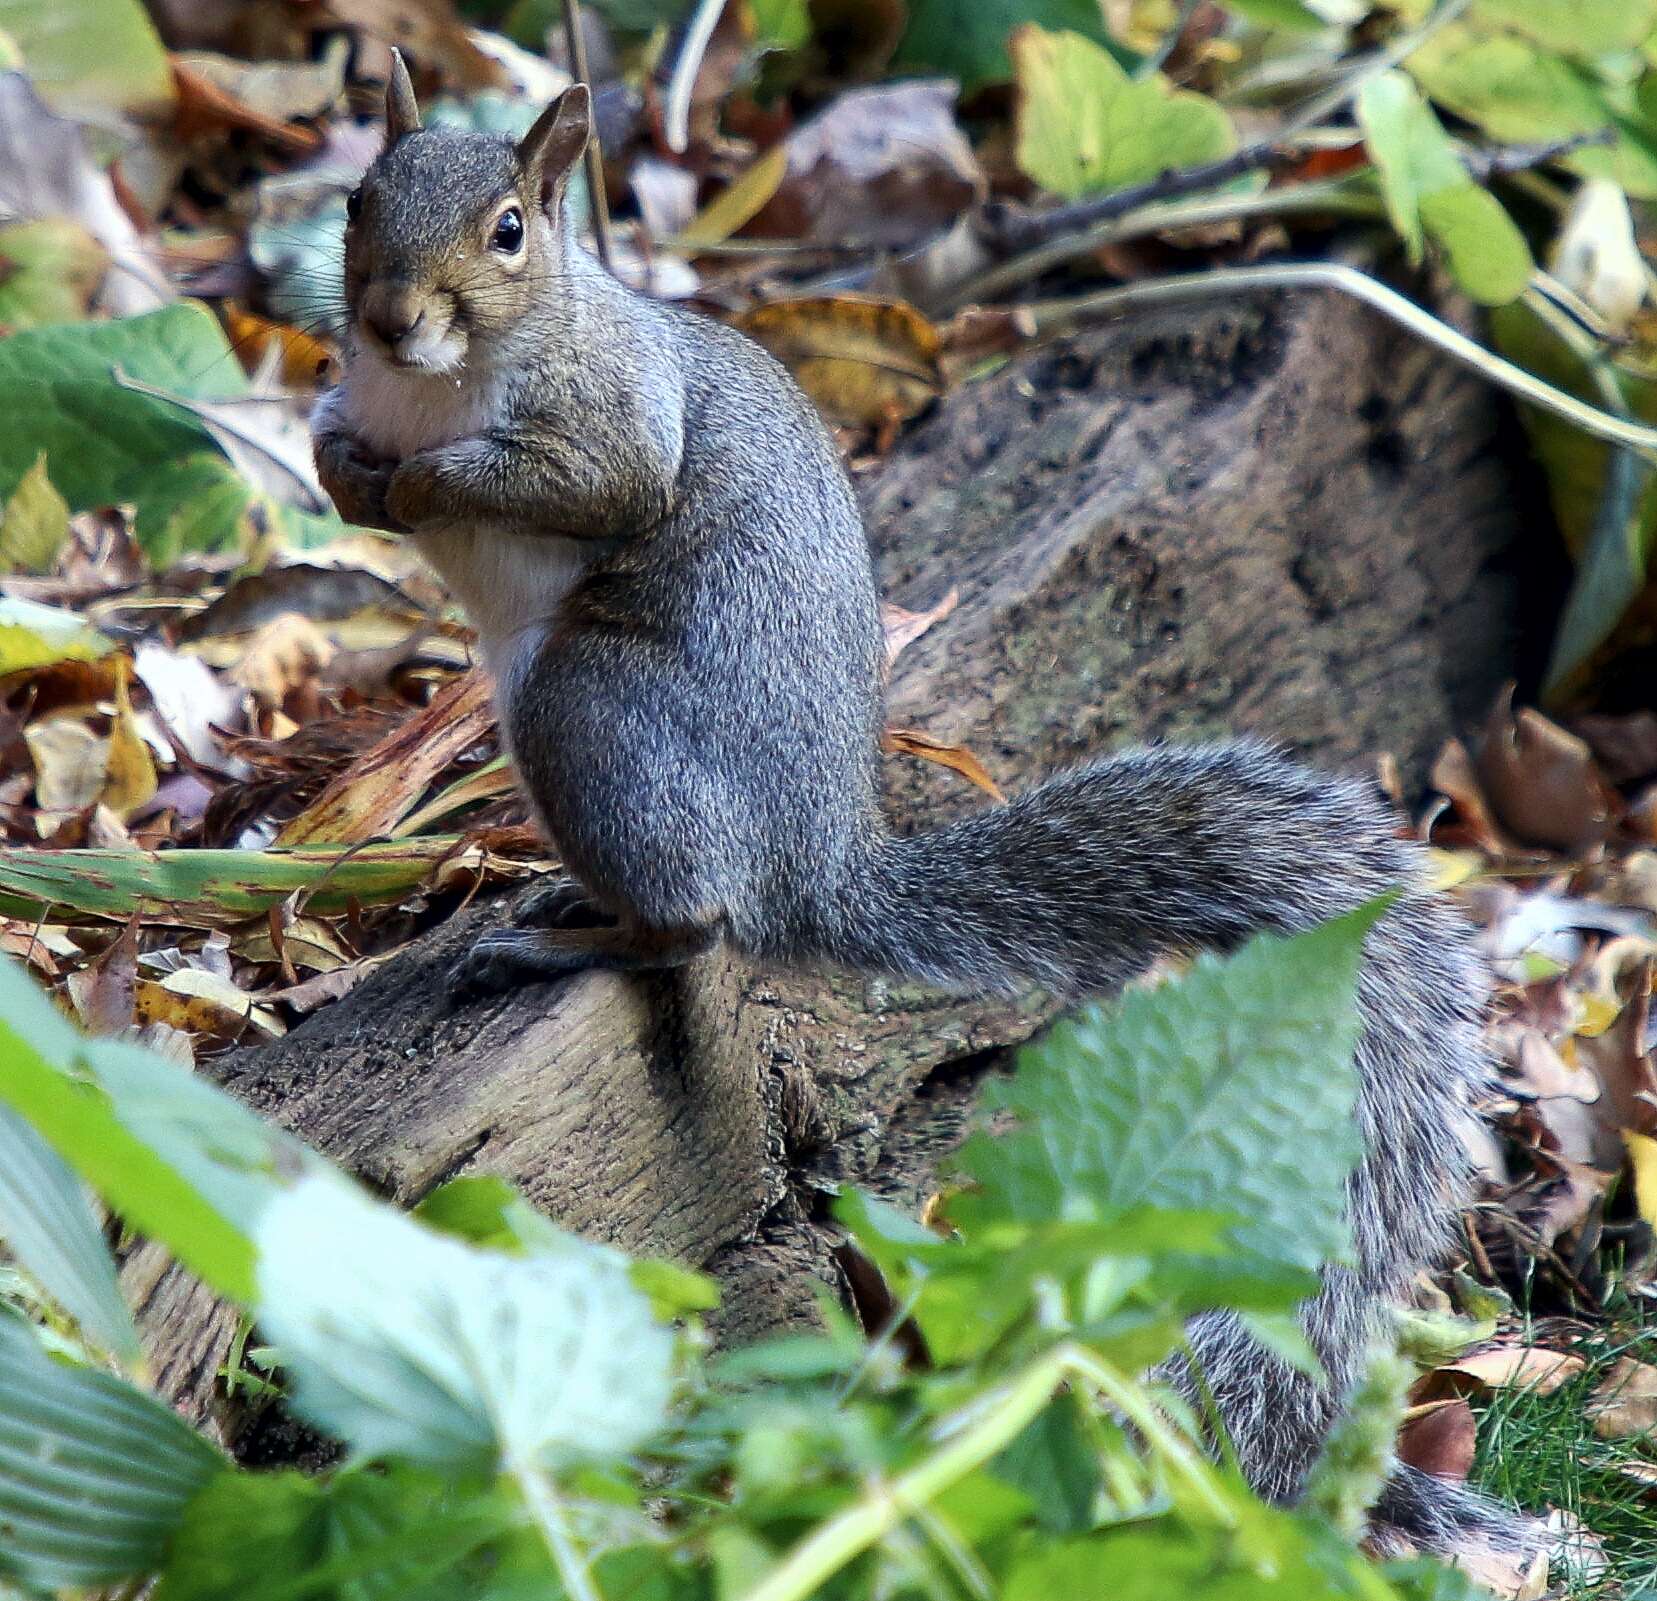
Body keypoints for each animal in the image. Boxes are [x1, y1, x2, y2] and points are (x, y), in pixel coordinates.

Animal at [313, 59, 1537, 1564]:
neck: (444, 379)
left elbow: (594, 481)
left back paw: (568, 937)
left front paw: (422, 481)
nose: (386, 317)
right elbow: (342, 449)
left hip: (587, 715)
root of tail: (813, 868)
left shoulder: (612, 413)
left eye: (506, 232)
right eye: (357, 200)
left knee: (697, 925)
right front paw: (342, 460)